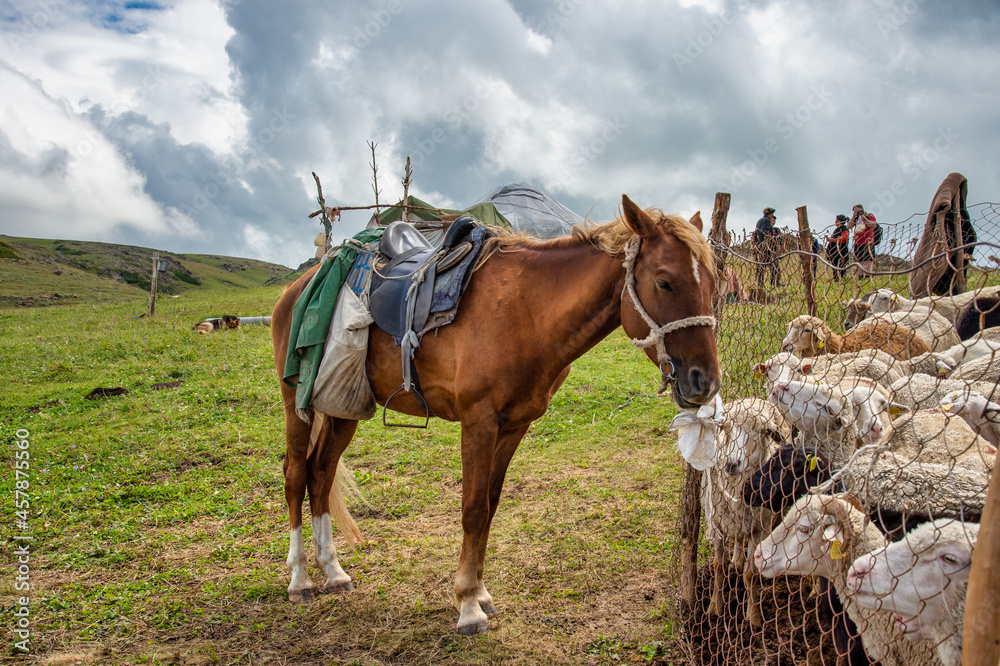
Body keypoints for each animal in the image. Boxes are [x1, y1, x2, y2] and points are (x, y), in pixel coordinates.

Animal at [271, 194, 721, 635]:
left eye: (714, 284)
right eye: (664, 281)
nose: (705, 382)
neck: (527, 311)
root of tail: (297, 287)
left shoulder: (514, 426)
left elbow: (490, 505)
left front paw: (481, 593)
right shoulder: (479, 423)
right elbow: (472, 510)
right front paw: (468, 606)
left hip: (342, 407)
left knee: (321, 472)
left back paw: (333, 571)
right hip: (298, 403)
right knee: (295, 474)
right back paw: (300, 579)